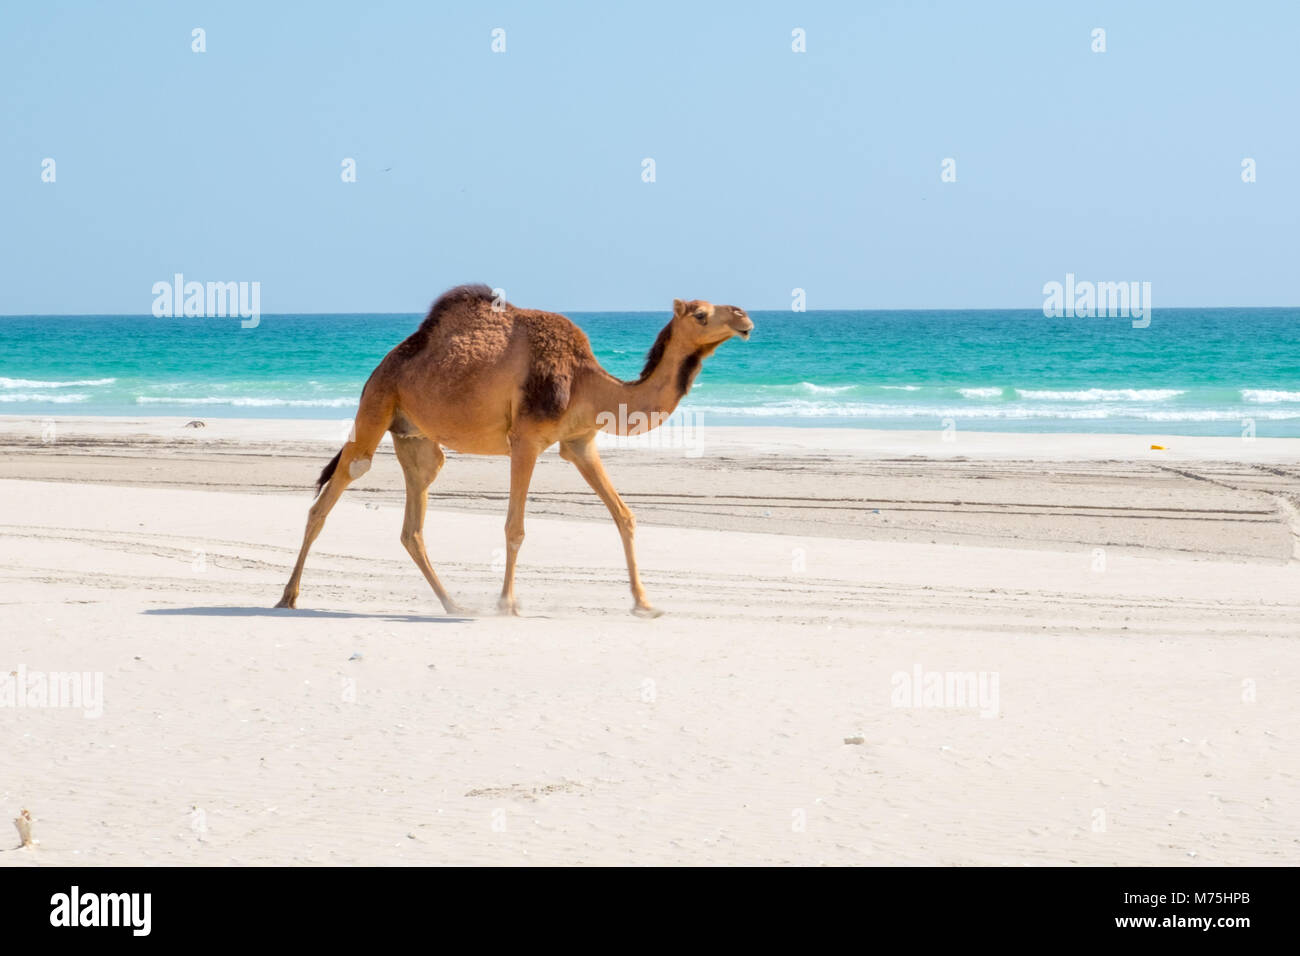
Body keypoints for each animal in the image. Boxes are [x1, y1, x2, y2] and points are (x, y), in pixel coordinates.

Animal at [279, 283, 759, 616]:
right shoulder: (525, 440)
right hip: (378, 405)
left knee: (413, 521)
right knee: (332, 492)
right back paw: (287, 596)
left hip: (415, 437)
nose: (744, 315)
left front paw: (645, 604)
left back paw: (453, 603)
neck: (589, 383)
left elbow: (624, 516)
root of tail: (383, 364)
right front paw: (507, 603)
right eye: (700, 314)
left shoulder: (579, 444)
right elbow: (515, 528)